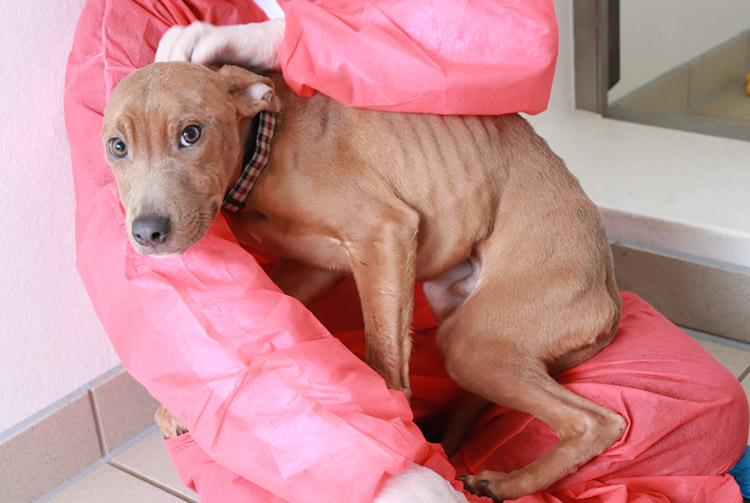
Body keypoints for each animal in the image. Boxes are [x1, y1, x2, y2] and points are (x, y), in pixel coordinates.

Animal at [101, 62, 628, 500]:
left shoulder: (383, 232)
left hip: (473, 344)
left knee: (595, 422)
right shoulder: (319, 265)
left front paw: (389, 424)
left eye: (191, 134)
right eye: (117, 146)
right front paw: (179, 405)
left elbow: (384, 358)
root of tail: (609, 295)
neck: (262, 151)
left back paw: (509, 482)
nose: (147, 233)